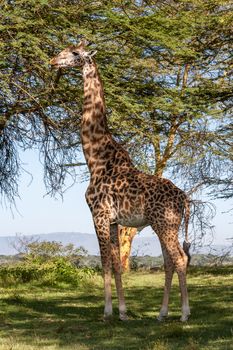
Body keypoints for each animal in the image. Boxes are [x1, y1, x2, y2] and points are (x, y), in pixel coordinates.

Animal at [49, 40, 191, 322]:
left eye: (74, 53)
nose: (53, 61)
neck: (95, 159)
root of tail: (183, 197)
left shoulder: (99, 214)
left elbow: (104, 262)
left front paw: (106, 312)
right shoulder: (114, 221)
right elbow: (116, 263)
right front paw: (123, 312)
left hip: (165, 223)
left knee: (180, 259)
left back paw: (183, 314)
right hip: (166, 225)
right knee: (169, 261)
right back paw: (161, 313)